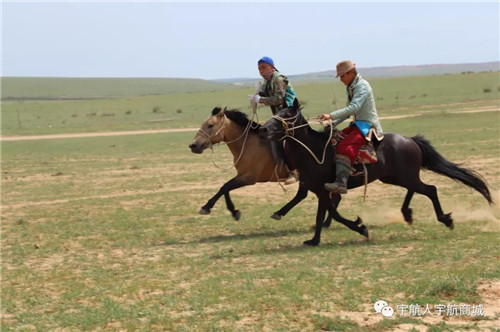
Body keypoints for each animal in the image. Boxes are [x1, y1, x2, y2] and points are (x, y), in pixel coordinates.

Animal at [260, 98, 490, 246]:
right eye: (277, 113)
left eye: (286, 115)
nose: (263, 129)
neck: (315, 151)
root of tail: (410, 140)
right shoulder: (319, 190)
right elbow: (324, 214)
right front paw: (314, 240)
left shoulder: (324, 190)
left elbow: (332, 213)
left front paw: (360, 227)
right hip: (397, 176)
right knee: (416, 189)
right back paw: (407, 213)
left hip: (404, 176)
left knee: (431, 189)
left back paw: (445, 219)